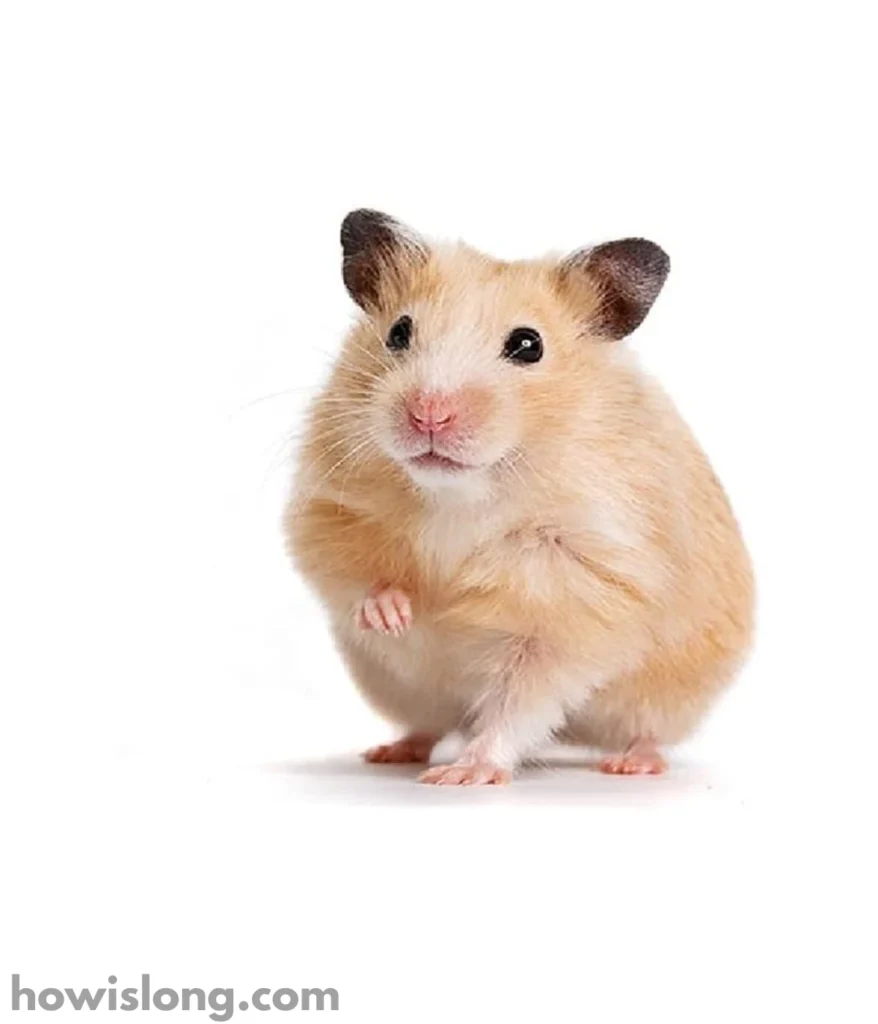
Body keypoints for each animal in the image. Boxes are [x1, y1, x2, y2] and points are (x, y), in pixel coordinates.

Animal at [285, 209, 754, 785]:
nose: (428, 415)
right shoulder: (327, 507)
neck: (460, 493)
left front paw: (464, 775)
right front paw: (395, 615)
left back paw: (630, 764)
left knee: (645, 730)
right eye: (398, 331)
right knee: (427, 724)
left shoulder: (575, 600)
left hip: (670, 695)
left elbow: (520, 700)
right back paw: (390, 752)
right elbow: (353, 572)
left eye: (529, 345)